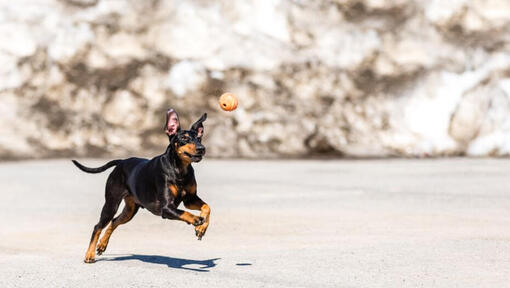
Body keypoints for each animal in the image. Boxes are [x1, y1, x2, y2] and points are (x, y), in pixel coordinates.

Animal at [71, 112, 209, 264]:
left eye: (199, 138)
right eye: (184, 138)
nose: (202, 148)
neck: (179, 169)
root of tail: (121, 162)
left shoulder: (189, 199)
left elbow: (206, 207)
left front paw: (202, 228)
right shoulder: (166, 209)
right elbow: (185, 213)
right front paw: (197, 220)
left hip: (130, 211)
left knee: (114, 222)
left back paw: (102, 245)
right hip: (111, 204)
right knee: (98, 226)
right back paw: (89, 255)